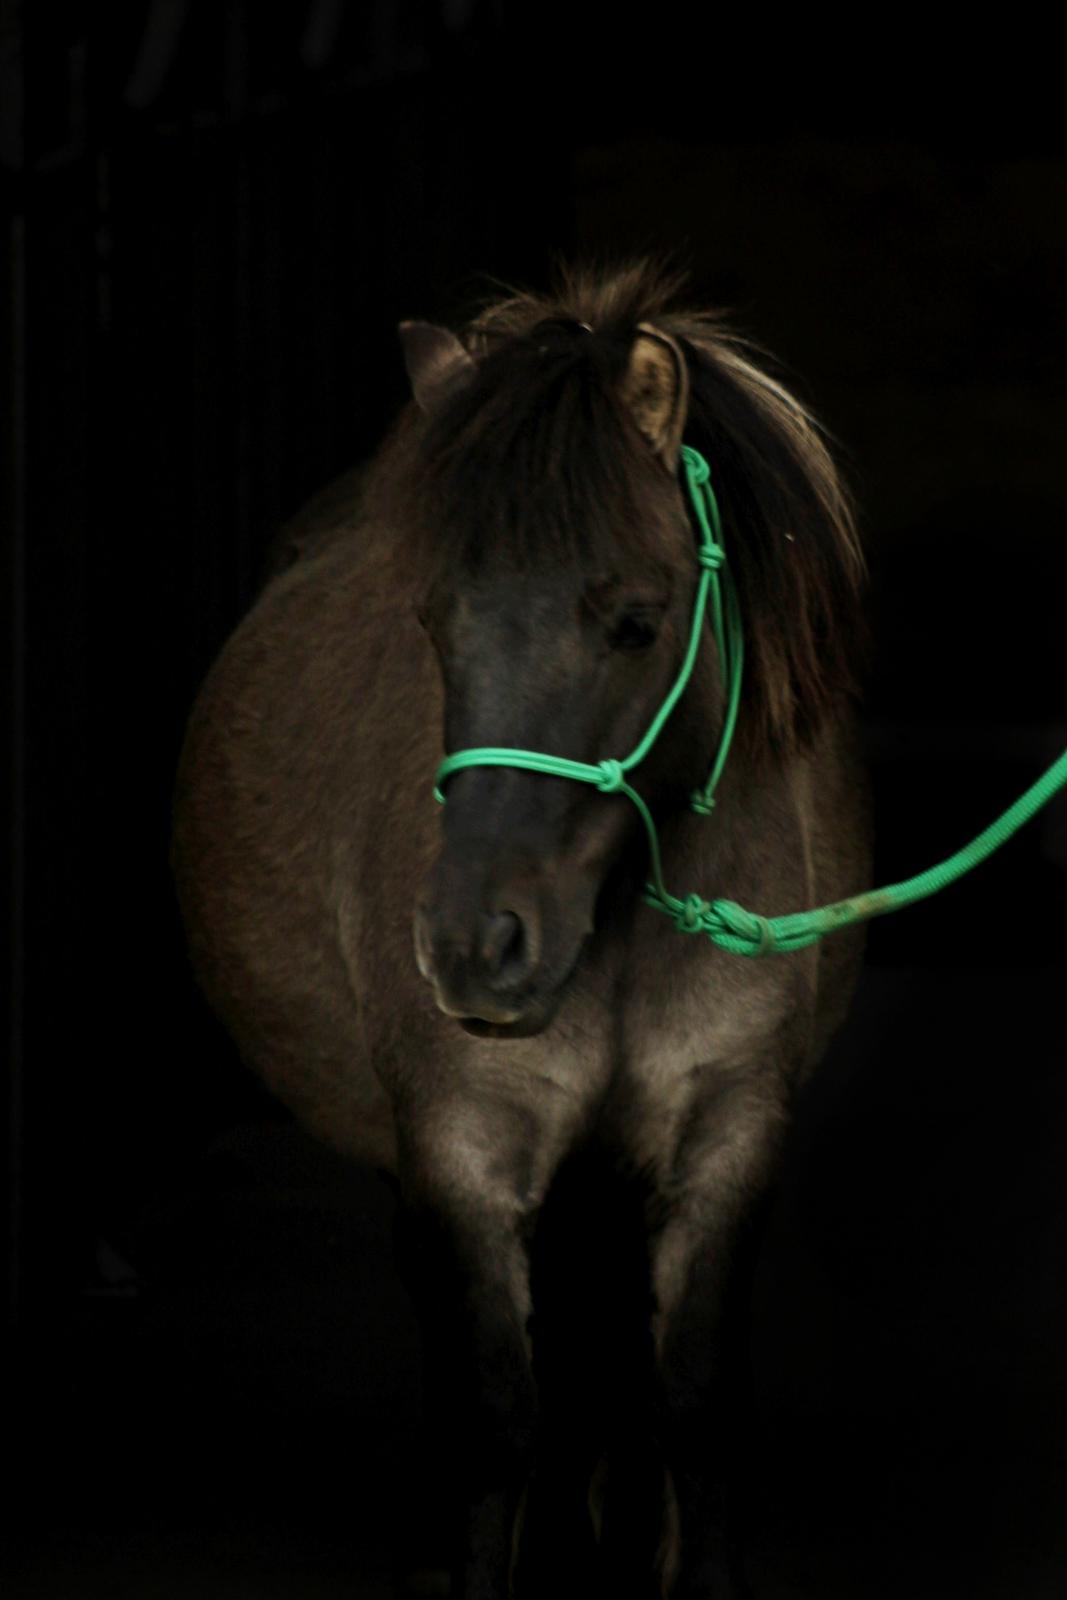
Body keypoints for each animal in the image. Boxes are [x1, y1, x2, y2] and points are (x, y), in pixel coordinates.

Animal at [175, 256, 870, 1593]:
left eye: (636, 622)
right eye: (431, 620)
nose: (469, 946)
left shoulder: (726, 1134)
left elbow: (692, 1412)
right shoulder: (461, 1150)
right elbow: (494, 1423)